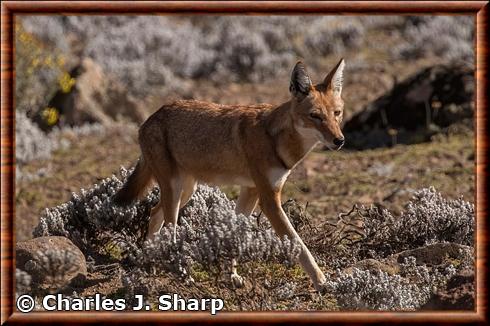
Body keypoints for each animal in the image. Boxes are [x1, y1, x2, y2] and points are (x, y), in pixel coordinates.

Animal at [113, 58, 346, 290]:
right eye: (315, 116)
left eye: (337, 113)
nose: (340, 140)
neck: (276, 139)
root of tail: (150, 118)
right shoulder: (269, 200)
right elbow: (299, 244)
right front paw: (322, 282)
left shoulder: (251, 191)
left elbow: (235, 234)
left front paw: (231, 276)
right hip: (176, 191)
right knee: (169, 229)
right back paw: (182, 274)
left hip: (185, 191)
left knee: (154, 213)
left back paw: (149, 264)